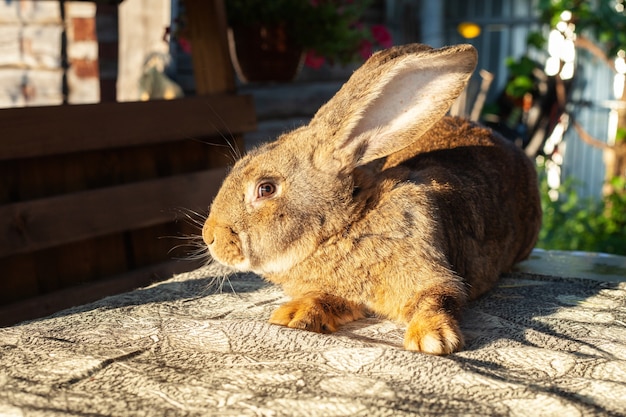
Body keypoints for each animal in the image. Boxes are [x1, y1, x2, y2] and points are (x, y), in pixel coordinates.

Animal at [202, 44, 540, 352]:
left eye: (266, 188)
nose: (209, 236)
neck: (345, 227)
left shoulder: (431, 272)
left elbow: (436, 299)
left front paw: (432, 339)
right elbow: (326, 298)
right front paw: (294, 315)